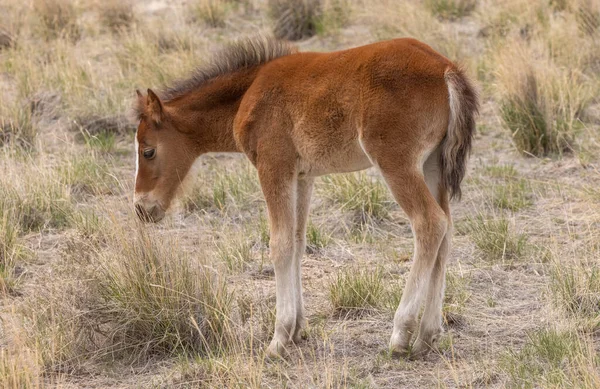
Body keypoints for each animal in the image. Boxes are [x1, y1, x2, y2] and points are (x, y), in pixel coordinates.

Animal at [134, 36, 480, 358]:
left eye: (148, 151)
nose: (141, 207)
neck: (248, 92)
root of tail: (446, 68)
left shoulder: (274, 167)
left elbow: (280, 244)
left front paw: (278, 338)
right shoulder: (302, 176)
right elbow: (298, 242)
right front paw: (298, 330)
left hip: (396, 162)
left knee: (429, 222)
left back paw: (400, 333)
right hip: (432, 163)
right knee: (447, 231)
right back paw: (427, 336)